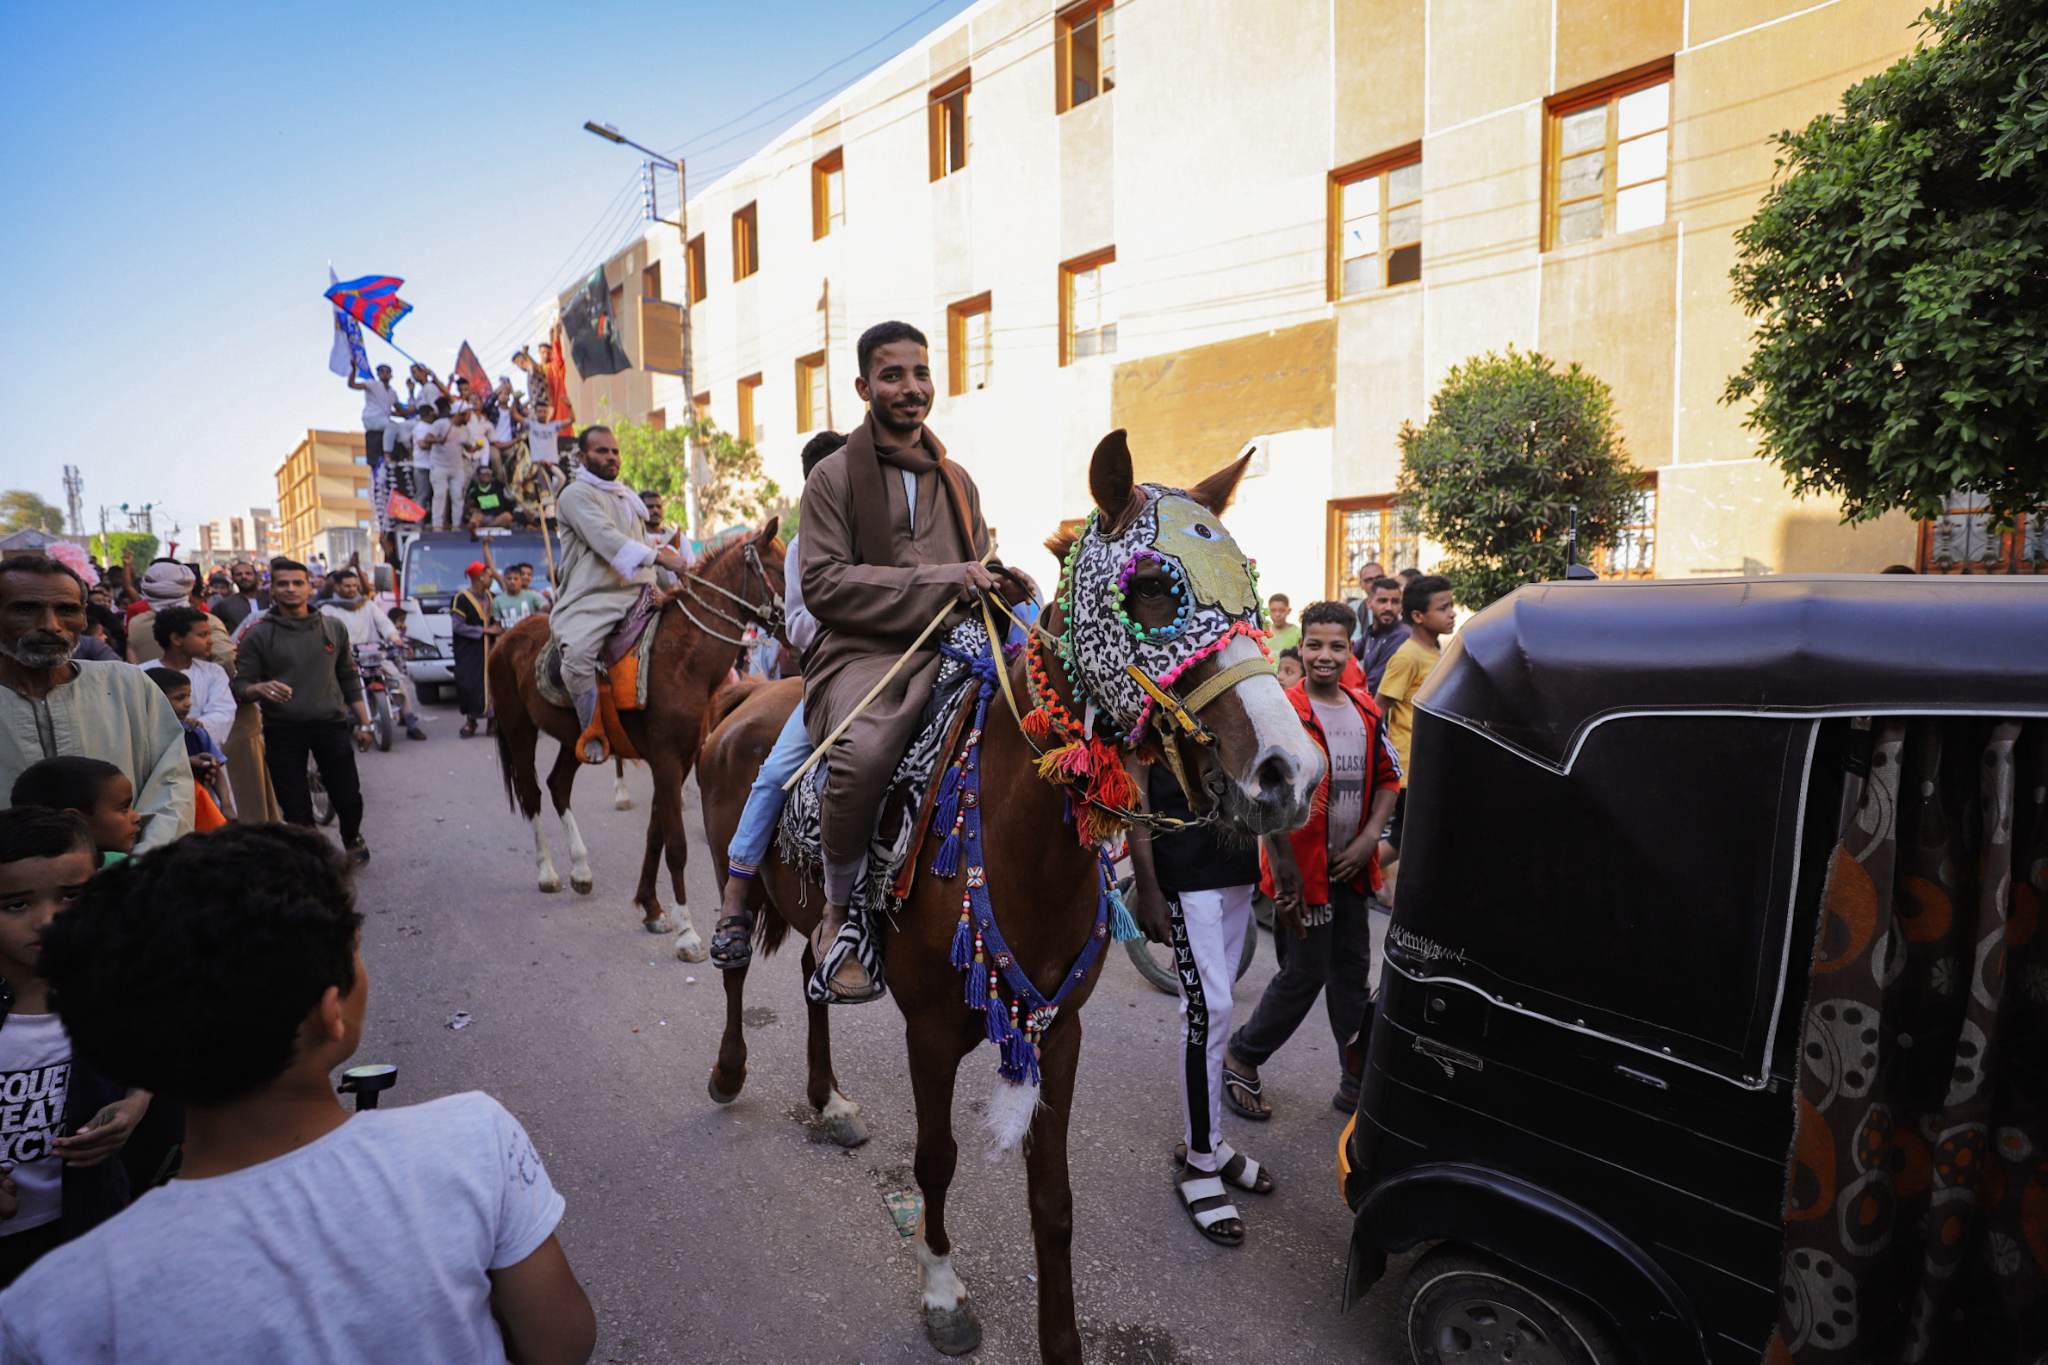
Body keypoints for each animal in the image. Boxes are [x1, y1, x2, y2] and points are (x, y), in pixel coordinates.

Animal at [491, 523, 786, 961]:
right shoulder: (665, 760)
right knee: (531, 795)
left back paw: (581, 870)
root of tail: (505, 636)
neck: (683, 660)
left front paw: (651, 908)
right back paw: (548, 872)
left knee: (558, 785)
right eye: (782, 568)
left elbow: (656, 834)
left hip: (576, 740)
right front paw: (687, 933)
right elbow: (676, 844)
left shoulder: (682, 760)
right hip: (519, 731)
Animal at [696, 439, 1318, 1365]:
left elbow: (1052, 1201)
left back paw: (828, 1098)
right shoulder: (929, 1030)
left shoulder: (1060, 1029)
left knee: (814, 971)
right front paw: (943, 1291)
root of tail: (745, 696)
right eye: (1152, 589)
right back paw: (730, 1067)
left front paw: (1060, 1339)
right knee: (738, 968)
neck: (1025, 834)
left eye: (1250, 585)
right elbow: (937, 1159)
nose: (1290, 771)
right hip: (722, 863)